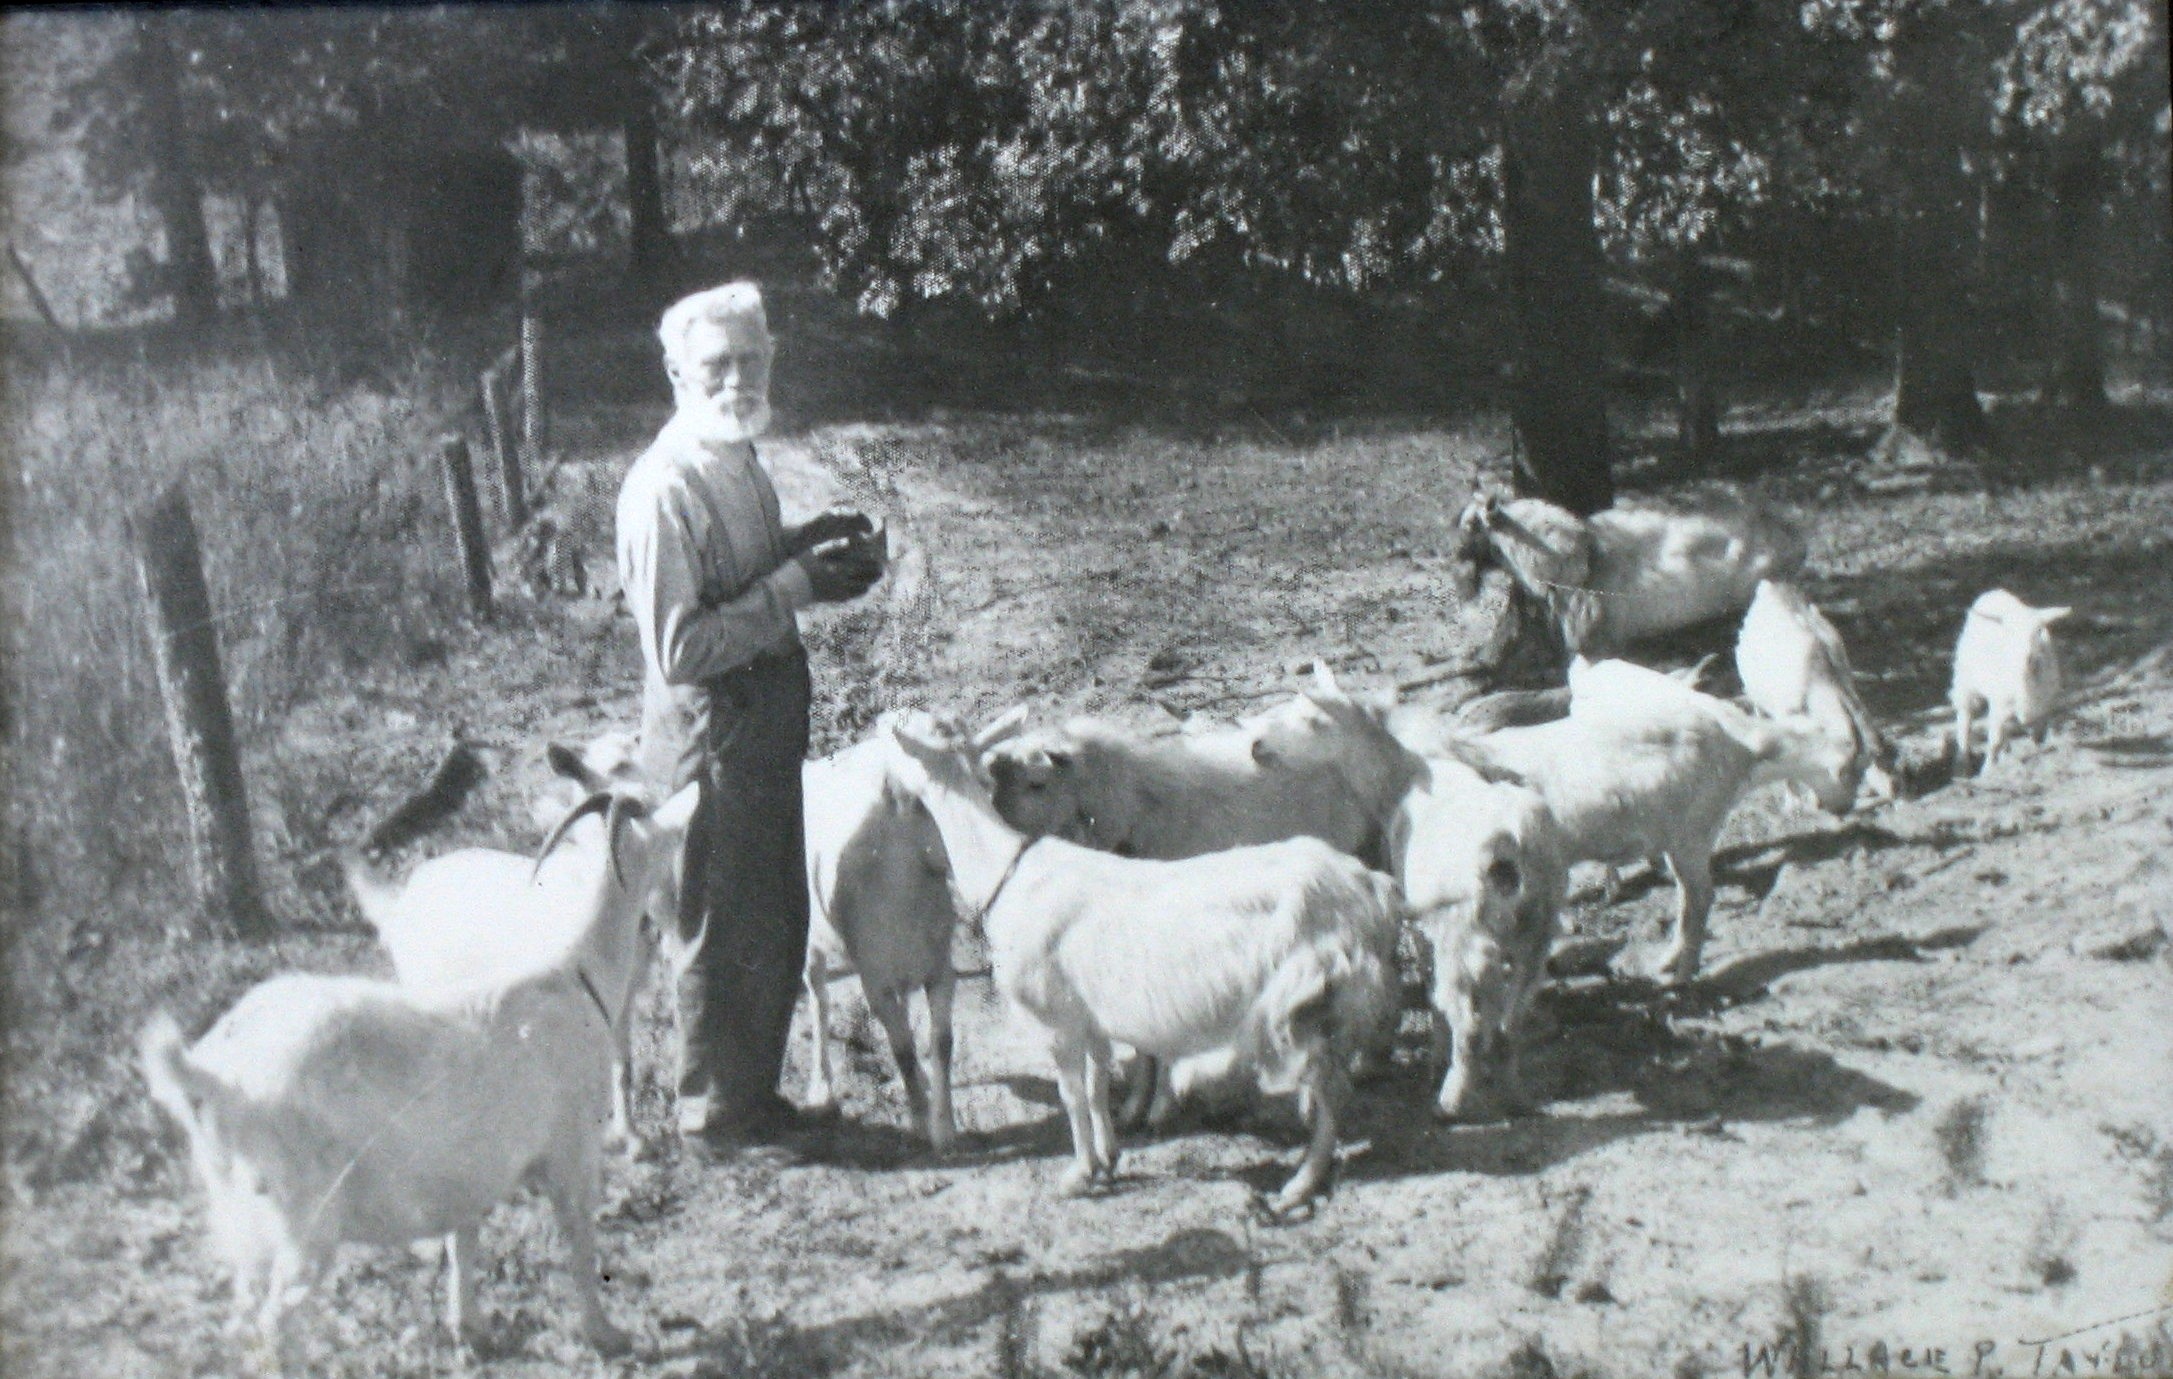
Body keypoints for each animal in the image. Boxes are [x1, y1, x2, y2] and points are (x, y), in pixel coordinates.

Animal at [140, 786, 695, 1372]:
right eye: (670, 841)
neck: (572, 972)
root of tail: (213, 1077)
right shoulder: (571, 1147)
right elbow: (579, 1237)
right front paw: (606, 1334)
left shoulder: (469, 1168)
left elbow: (463, 1237)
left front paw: (470, 1331)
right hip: (303, 1216)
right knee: (278, 1322)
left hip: (241, 1215)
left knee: (244, 1314)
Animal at [1738, 582, 1894, 799]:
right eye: (1849, 771)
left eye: (1877, 760)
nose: (1894, 790)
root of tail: (1768, 588)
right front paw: (1793, 799)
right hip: (1755, 696)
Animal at [1955, 590, 2068, 777]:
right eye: (2011, 632)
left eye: (2039, 631)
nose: (2028, 657)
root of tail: (1993, 592)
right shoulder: (2000, 704)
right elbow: (1994, 740)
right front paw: (1988, 770)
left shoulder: (2043, 707)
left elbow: (2038, 736)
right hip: (1966, 682)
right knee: (1965, 719)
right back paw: (1963, 765)